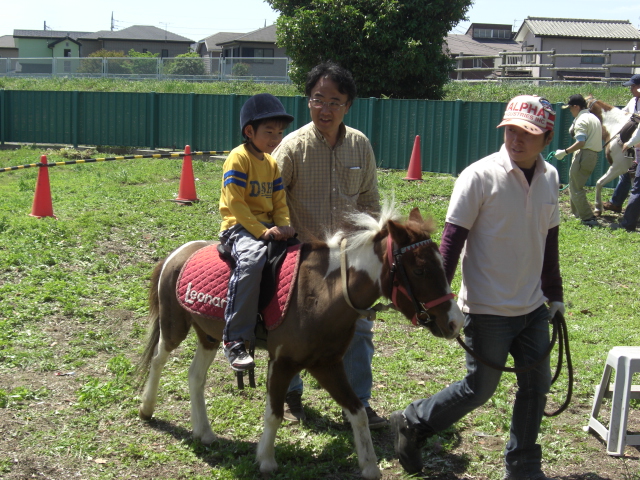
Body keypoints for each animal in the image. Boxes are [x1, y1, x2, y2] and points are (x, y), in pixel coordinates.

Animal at [138, 201, 462, 478]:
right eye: (419, 269)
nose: (455, 322)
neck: (322, 292)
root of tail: (178, 253)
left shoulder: (327, 364)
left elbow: (357, 411)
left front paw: (370, 466)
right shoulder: (282, 362)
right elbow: (274, 414)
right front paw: (266, 461)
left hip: (209, 336)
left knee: (195, 376)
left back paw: (204, 433)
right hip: (174, 327)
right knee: (157, 359)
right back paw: (147, 409)